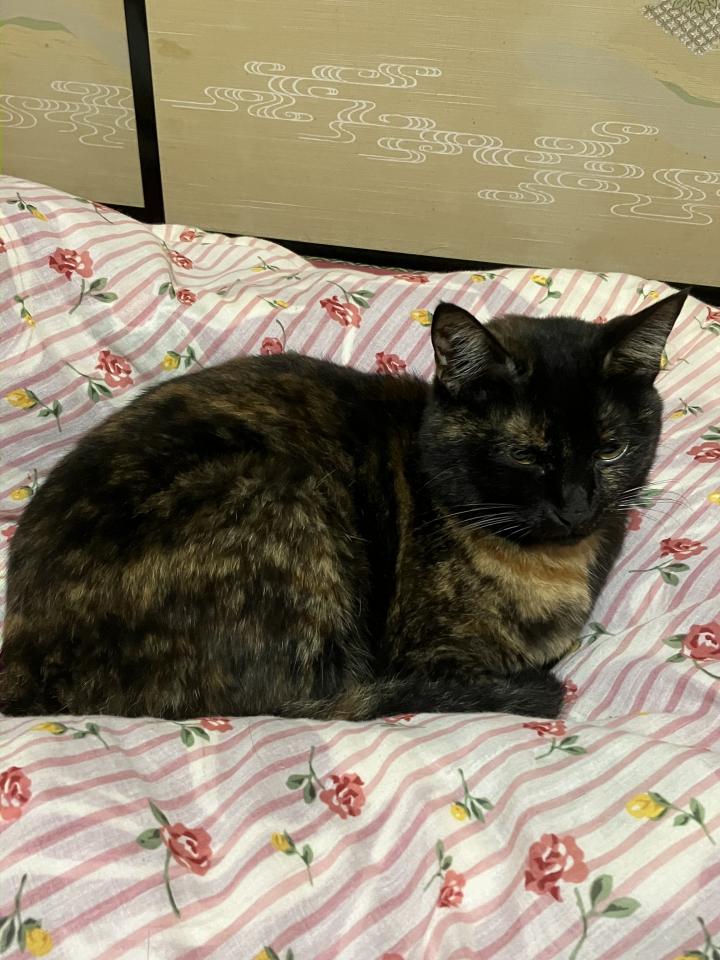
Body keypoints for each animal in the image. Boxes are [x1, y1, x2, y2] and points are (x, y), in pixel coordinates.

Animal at [0, 290, 686, 721]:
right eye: (526, 454)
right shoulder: (436, 654)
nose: (577, 506)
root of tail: (22, 647)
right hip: (289, 497)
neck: (553, 567)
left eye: (611, 449)